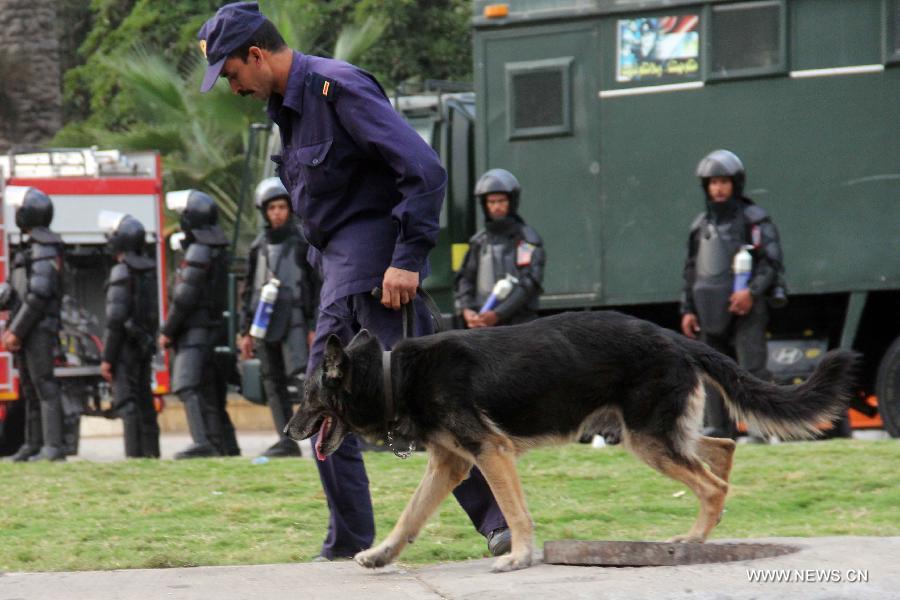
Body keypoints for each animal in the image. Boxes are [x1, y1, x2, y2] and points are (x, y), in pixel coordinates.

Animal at [286, 312, 856, 568]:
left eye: (308, 397)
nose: (289, 431)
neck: (389, 375)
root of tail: (673, 336)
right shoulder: (451, 466)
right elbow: (409, 517)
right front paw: (380, 555)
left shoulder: (491, 454)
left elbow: (515, 513)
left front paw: (518, 556)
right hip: (655, 435)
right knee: (721, 452)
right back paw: (708, 529)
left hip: (647, 440)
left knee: (712, 482)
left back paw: (695, 538)